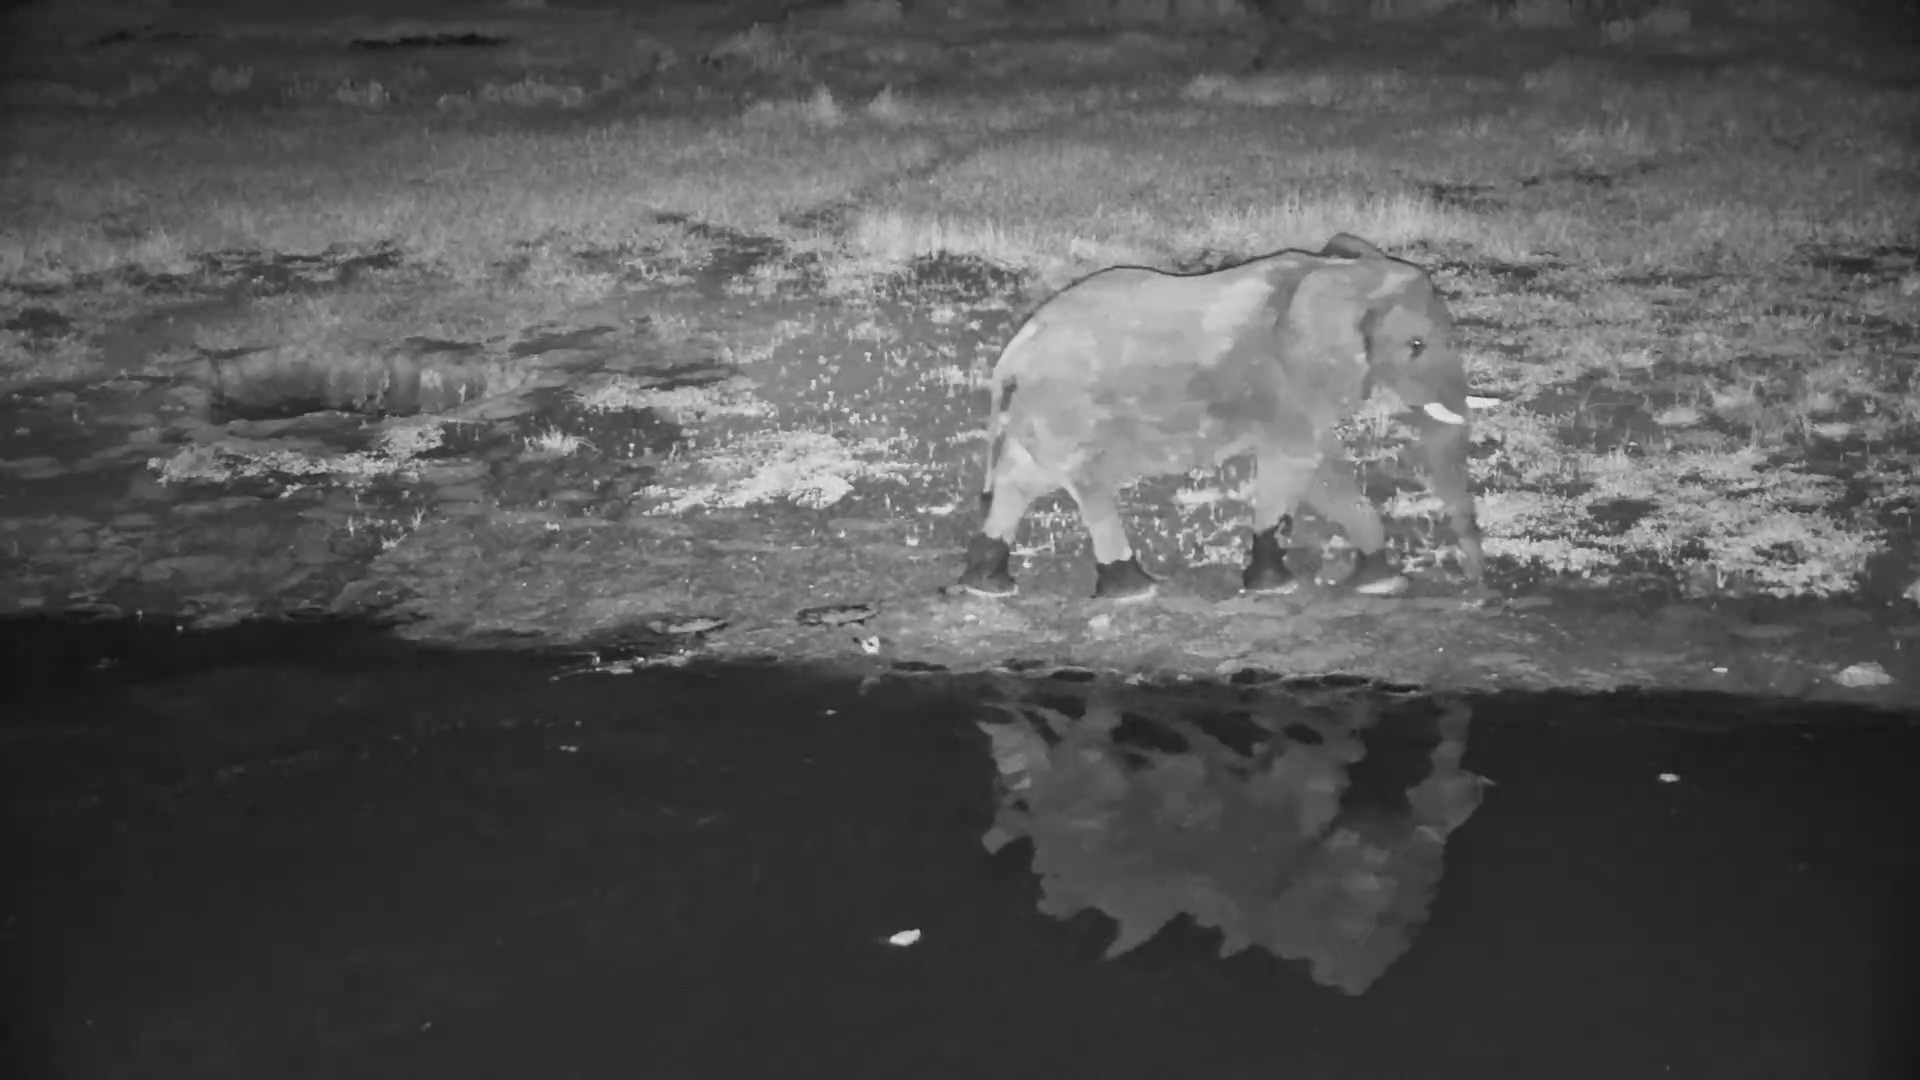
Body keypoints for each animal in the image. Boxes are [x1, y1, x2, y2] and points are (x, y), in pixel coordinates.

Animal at [956, 233, 1485, 601]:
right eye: (1416, 346)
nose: (1474, 584)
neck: (1342, 273)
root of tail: (1012, 354)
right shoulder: (1285, 381)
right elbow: (1296, 464)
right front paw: (1275, 586)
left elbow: (1322, 472)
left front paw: (1380, 582)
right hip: (1068, 411)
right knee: (1087, 484)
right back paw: (1135, 590)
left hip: (1043, 413)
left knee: (1021, 479)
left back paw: (988, 585)